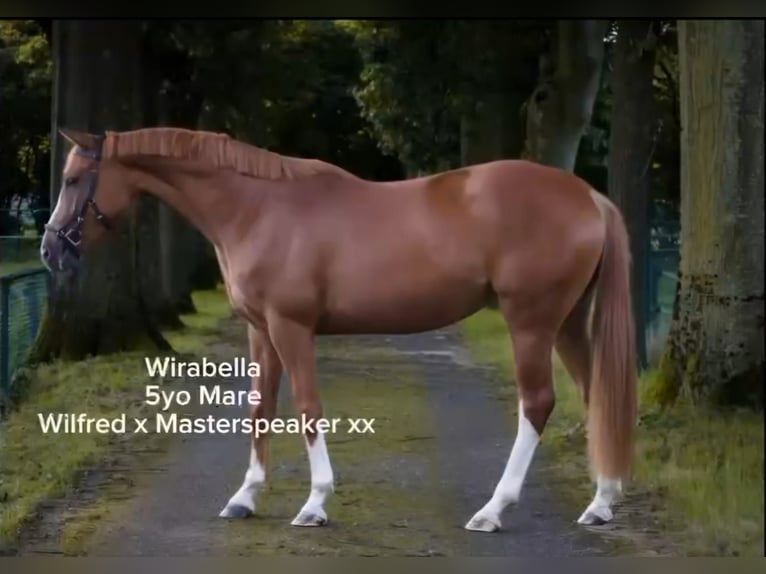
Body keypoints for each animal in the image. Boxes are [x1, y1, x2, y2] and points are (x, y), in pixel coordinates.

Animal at [41, 127, 637, 532]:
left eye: (71, 179)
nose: (50, 250)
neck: (257, 208)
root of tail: (587, 196)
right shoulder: (260, 331)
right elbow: (260, 408)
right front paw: (245, 497)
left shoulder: (291, 327)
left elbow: (307, 408)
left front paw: (314, 503)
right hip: (566, 323)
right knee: (594, 396)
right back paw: (601, 503)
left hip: (531, 322)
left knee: (537, 403)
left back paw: (494, 509)